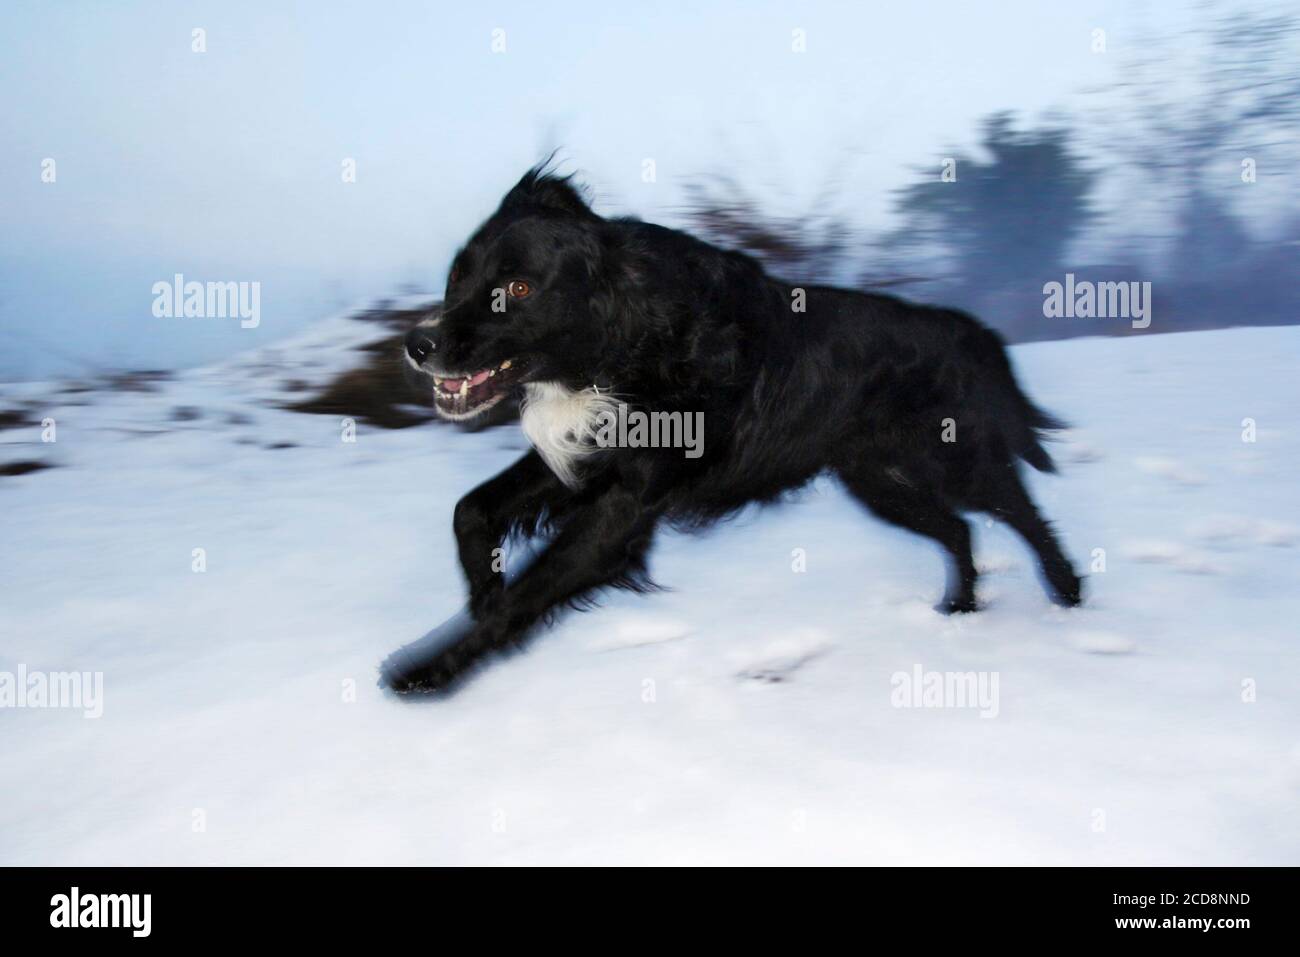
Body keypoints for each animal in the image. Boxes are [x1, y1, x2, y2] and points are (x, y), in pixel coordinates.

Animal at [379, 162, 1081, 686]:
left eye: (519, 289)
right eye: (458, 276)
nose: (417, 344)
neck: (623, 343)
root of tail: (968, 329)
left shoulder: (623, 508)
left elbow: (531, 590)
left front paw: (433, 668)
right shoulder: (584, 460)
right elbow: (471, 508)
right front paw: (483, 589)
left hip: (956, 464)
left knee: (1023, 513)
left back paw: (1069, 594)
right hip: (879, 485)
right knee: (959, 529)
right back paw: (959, 608)